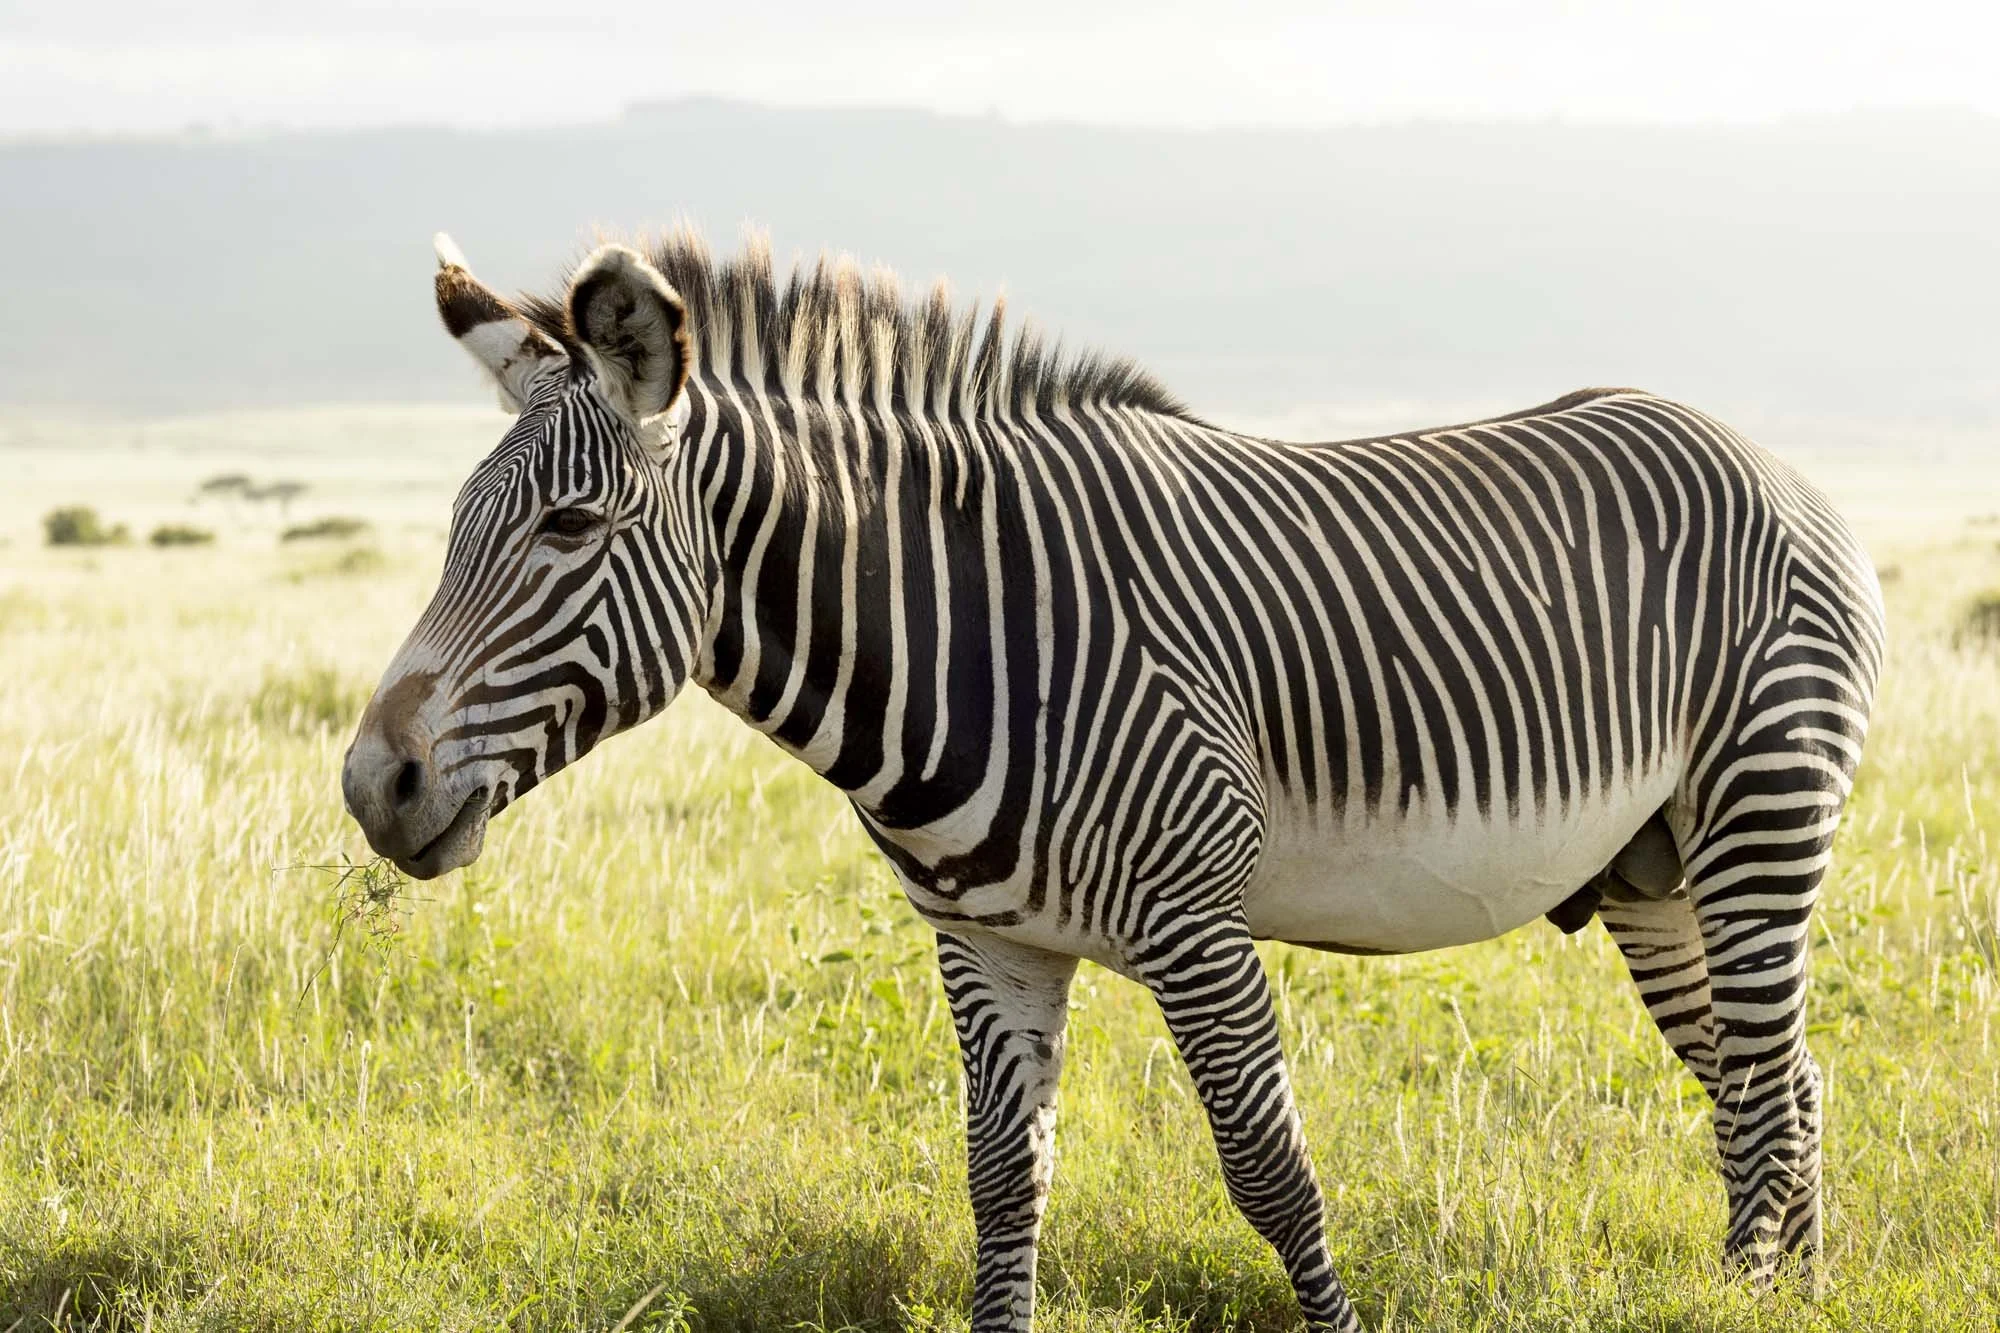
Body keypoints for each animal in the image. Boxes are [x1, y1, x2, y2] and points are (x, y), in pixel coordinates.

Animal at [342, 228, 1886, 1331]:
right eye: (456, 526)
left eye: (567, 525)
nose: (371, 785)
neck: (970, 640)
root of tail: (1763, 457)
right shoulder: (988, 939)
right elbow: (1002, 1184)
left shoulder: (1197, 923)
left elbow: (1272, 1178)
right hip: (1652, 868)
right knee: (1778, 1080)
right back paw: (1785, 1299)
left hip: (1759, 810)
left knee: (1764, 1081)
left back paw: (1763, 1302)